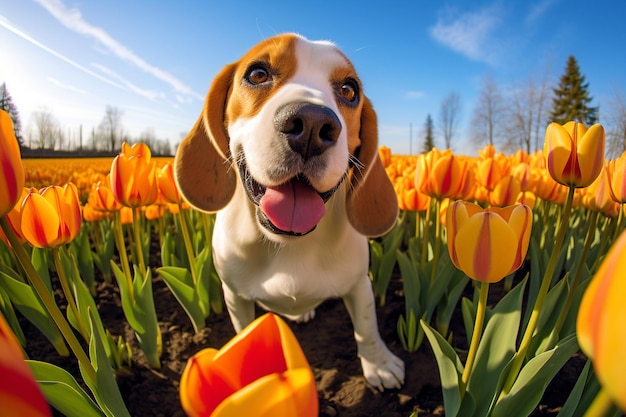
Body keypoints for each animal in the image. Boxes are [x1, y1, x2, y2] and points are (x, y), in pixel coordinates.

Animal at [173, 32, 402, 390]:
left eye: (349, 90)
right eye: (257, 74)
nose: (311, 124)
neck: (290, 244)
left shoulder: (359, 286)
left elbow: (366, 329)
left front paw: (379, 365)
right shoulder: (234, 296)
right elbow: (244, 334)